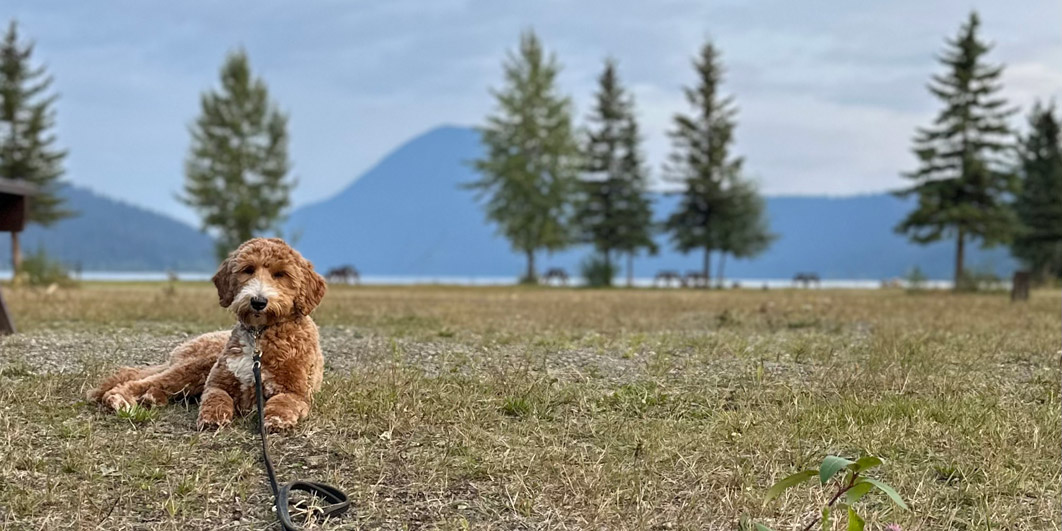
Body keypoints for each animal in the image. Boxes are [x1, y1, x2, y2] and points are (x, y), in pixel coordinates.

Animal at [89, 240, 324, 431]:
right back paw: (119, 398)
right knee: (141, 381)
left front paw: (276, 420)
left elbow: (283, 403)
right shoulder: (217, 382)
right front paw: (213, 417)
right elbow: (216, 398)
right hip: (195, 367)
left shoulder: (296, 392)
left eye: (280, 274)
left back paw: (152, 398)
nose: (258, 301)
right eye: (248, 270)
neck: (259, 334)